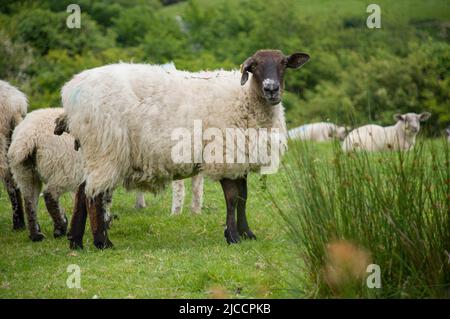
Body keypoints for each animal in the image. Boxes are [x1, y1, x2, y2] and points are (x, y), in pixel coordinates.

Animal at [60, 50, 310, 250]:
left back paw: (76, 241)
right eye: (254, 66)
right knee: (94, 196)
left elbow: (243, 198)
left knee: (82, 192)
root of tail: (71, 90)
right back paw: (102, 242)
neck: (245, 98)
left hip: (94, 152)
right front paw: (233, 236)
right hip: (105, 147)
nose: (271, 89)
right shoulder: (224, 155)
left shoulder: (240, 159)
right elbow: (231, 199)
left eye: (283, 63)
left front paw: (247, 233)